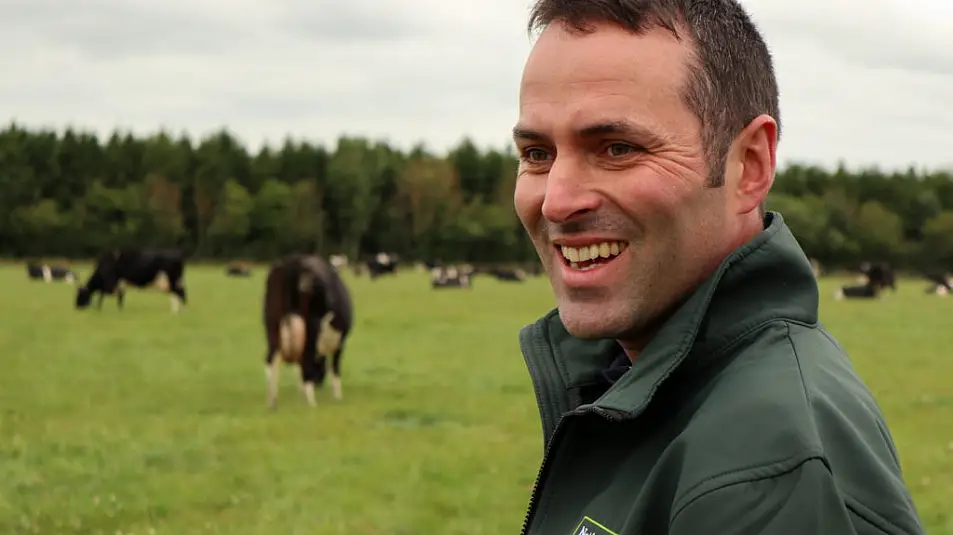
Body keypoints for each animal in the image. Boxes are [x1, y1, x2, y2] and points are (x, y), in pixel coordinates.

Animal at [260, 255, 354, 410]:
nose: (319, 383)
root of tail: (293, 262)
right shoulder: (340, 341)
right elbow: (335, 367)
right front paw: (337, 396)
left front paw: (301, 393)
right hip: (311, 328)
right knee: (306, 359)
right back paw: (312, 403)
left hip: (272, 326)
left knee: (270, 360)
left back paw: (272, 401)